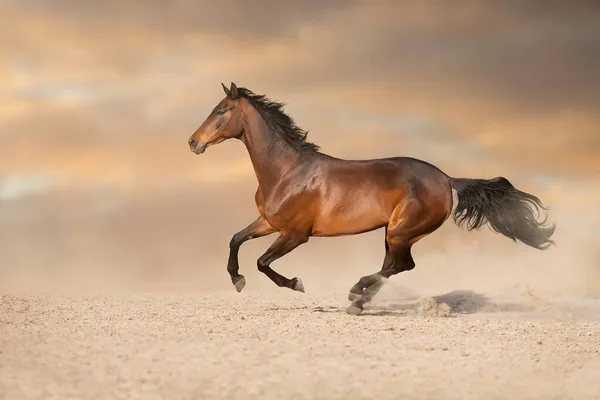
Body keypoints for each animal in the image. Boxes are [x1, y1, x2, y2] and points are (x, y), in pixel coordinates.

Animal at [186, 83, 552, 316]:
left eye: (221, 111)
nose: (192, 142)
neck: (288, 171)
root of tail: (446, 179)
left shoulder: (295, 234)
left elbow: (263, 262)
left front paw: (295, 284)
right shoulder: (268, 222)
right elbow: (236, 239)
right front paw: (237, 280)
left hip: (401, 231)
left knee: (400, 265)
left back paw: (355, 294)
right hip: (396, 232)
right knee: (394, 266)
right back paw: (357, 300)